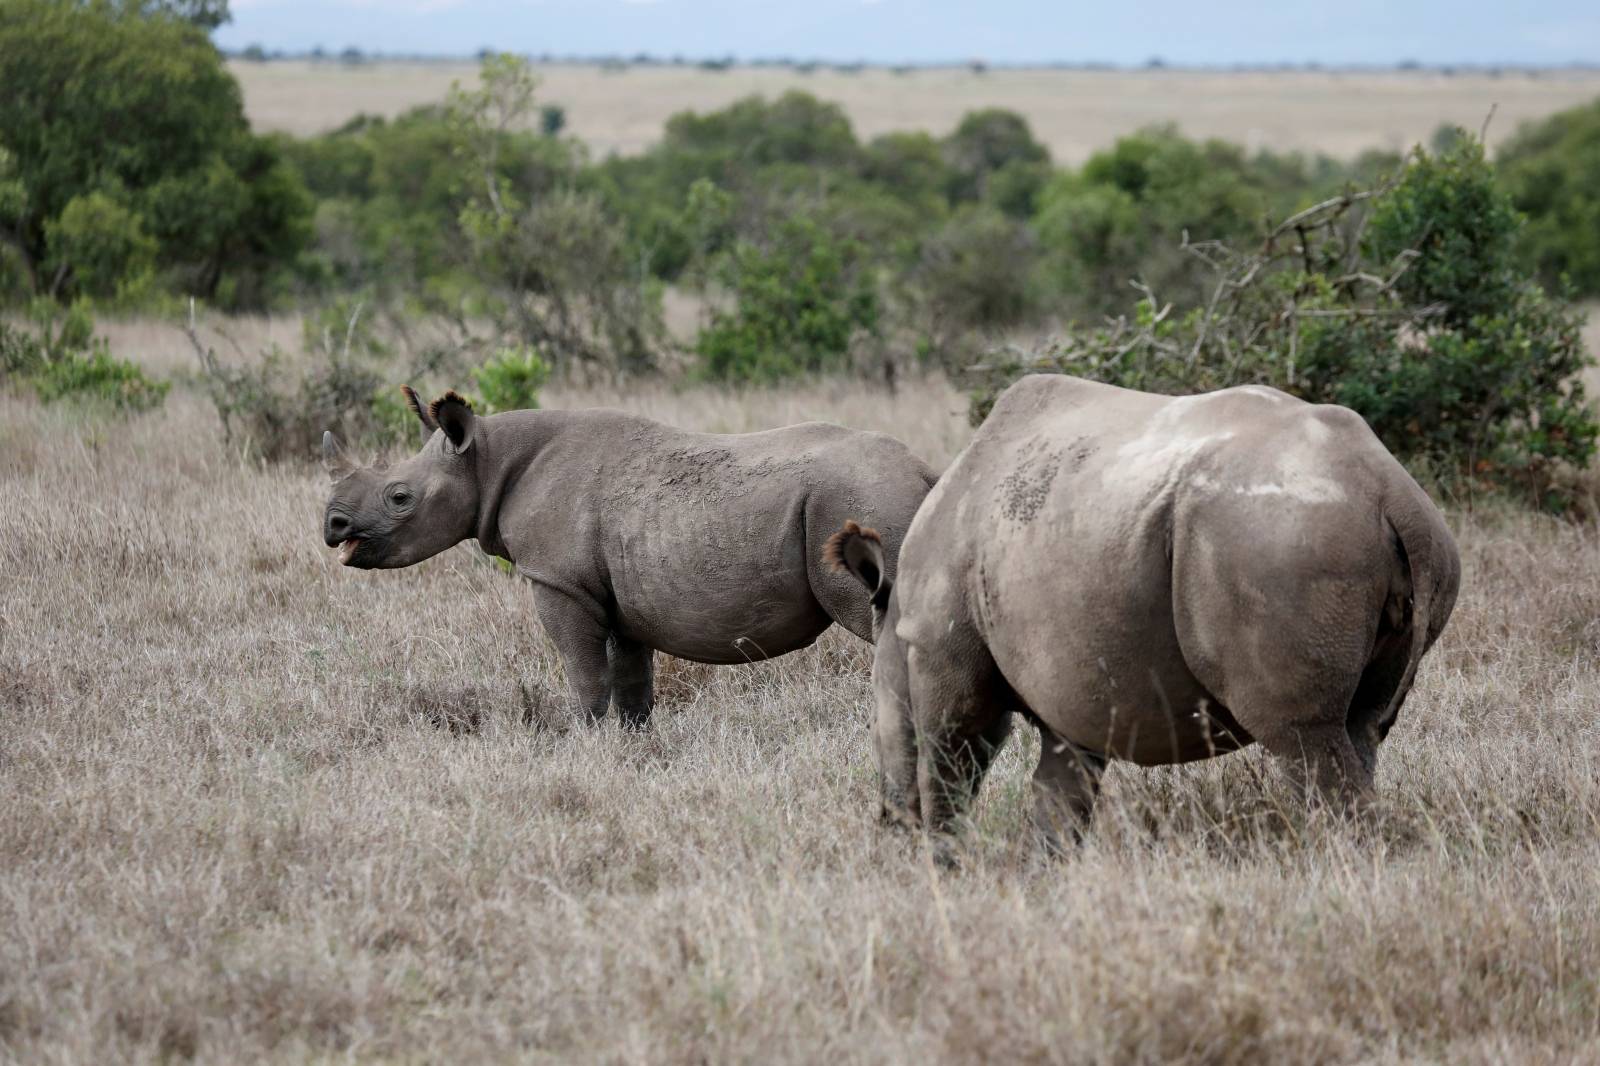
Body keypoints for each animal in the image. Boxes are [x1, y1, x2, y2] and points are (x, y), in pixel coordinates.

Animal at [320, 385, 934, 726]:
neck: (486, 459)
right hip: (874, 500)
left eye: (399, 497)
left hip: (860, 499)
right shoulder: (619, 593)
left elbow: (585, 675)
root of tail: (924, 468)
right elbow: (632, 684)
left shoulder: (559, 582)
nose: (332, 526)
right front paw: (634, 748)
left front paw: (586, 743)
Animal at [832, 372, 1459, 857]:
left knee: (1304, 738)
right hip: (1363, 539)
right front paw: (1043, 874)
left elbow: (948, 759)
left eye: (873, 731)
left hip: (1282, 541)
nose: (888, 824)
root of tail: (1390, 489)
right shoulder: (1072, 682)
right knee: (1362, 726)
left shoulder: (941, 650)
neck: (897, 621)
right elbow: (1061, 792)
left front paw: (943, 865)